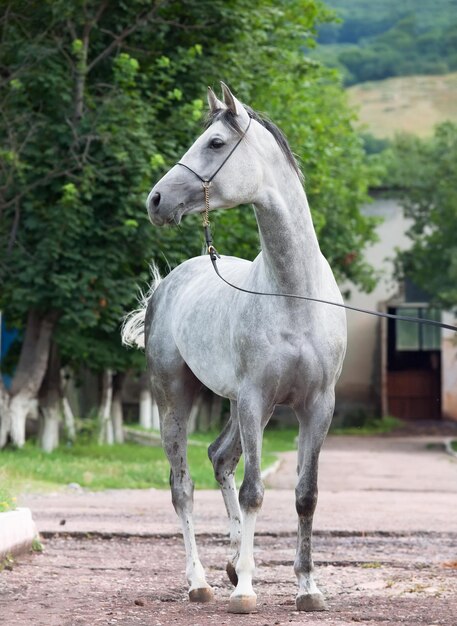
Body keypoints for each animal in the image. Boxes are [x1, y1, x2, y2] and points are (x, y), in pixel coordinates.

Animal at [122, 81, 346, 608]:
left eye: (216, 143)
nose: (156, 200)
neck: (293, 294)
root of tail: (165, 286)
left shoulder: (317, 406)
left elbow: (305, 494)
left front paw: (307, 587)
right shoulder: (254, 398)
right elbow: (254, 492)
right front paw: (245, 589)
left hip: (238, 409)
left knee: (220, 457)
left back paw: (229, 560)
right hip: (178, 402)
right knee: (182, 485)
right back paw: (201, 580)